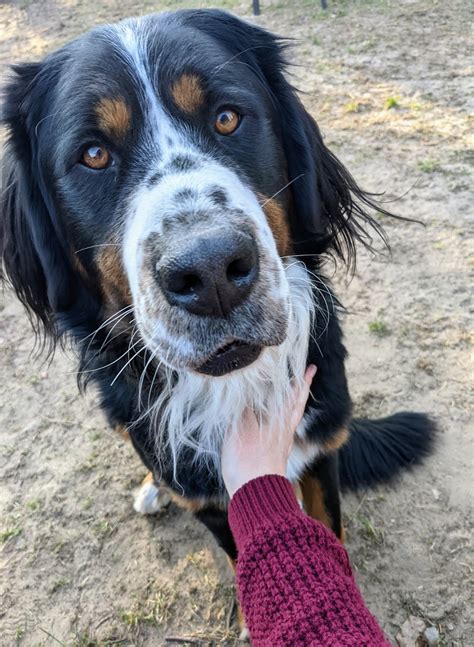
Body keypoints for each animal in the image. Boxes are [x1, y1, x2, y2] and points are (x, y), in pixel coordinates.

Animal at [0, 7, 436, 636]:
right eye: (93, 155)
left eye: (227, 117)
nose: (209, 272)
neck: (237, 392)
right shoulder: (209, 496)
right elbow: (238, 543)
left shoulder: (321, 445)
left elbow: (329, 533)